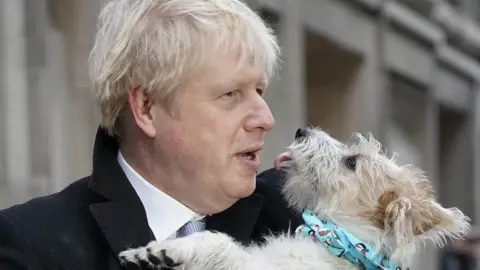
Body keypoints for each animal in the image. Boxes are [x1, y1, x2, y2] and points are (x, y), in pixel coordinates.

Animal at [118, 127, 470, 270]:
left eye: (352, 162)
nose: (301, 130)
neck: (342, 241)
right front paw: (145, 251)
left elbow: (217, 242)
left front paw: (161, 251)